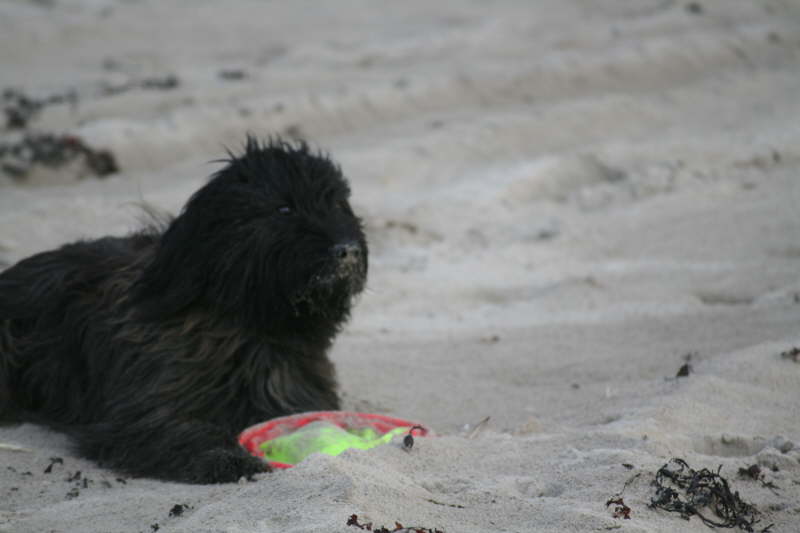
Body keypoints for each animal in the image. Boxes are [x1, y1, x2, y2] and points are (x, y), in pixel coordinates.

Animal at [0, 136, 368, 482]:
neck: (247, 324)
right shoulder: (147, 399)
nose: (347, 250)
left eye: (338, 204)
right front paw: (224, 458)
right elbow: (167, 427)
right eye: (284, 209)